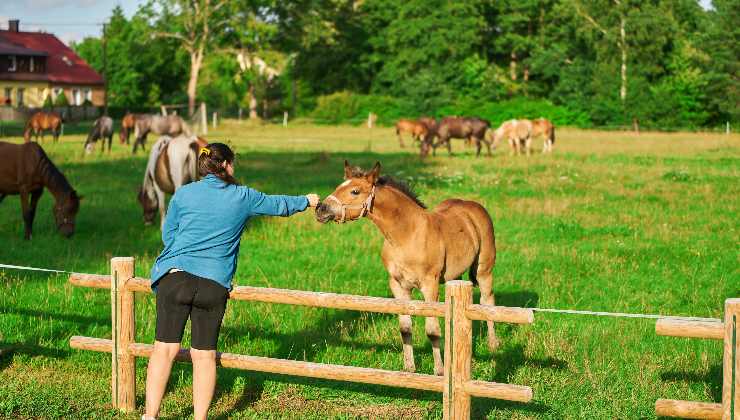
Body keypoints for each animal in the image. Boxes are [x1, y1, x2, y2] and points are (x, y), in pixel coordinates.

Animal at [316, 162, 500, 376]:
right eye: (339, 186)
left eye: (355, 191)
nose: (321, 209)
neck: (406, 235)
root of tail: (474, 206)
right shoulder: (398, 285)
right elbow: (405, 328)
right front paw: (409, 368)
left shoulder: (429, 285)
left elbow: (432, 330)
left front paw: (439, 370)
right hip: (456, 275)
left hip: (484, 269)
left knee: (487, 301)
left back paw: (493, 344)